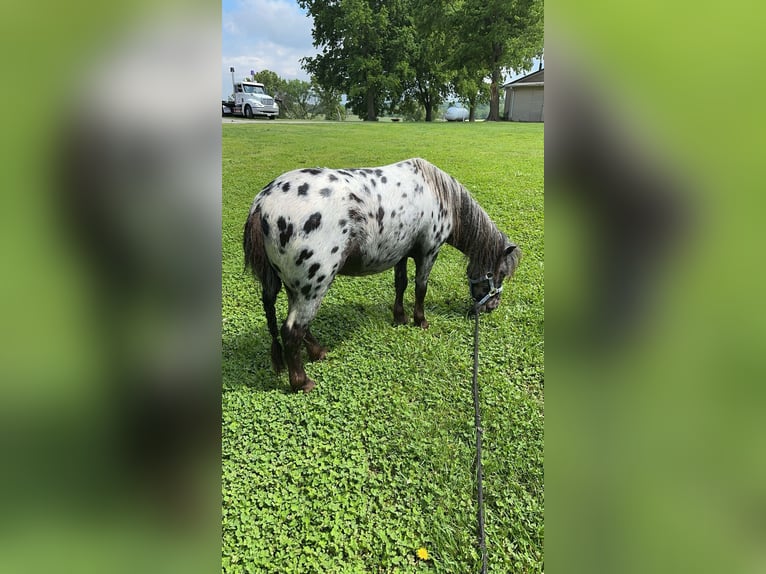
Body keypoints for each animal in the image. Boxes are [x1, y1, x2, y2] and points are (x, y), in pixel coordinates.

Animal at [244, 158, 520, 392]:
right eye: (500, 273)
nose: (492, 306)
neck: (436, 191)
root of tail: (262, 203)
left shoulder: (402, 253)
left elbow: (401, 284)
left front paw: (400, 317)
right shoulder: (429, 251)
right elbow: (420, 287)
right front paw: (420, 320)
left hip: (297, 288)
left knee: (299, 328)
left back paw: (318, 352)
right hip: (313, 286)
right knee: (292, 331)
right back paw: (302, 382)